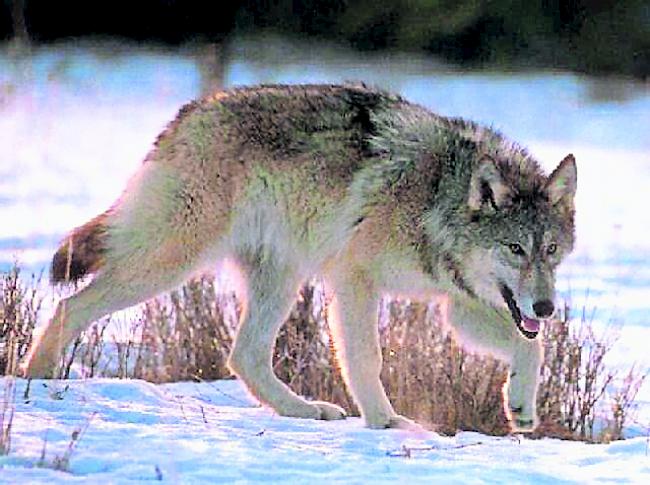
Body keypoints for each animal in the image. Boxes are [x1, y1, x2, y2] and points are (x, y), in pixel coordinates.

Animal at [22, 83, 576, 432]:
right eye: (515, 248)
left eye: (550, 251)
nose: (546, 307)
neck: (436, 196)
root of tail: (190, 112)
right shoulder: (355, 279)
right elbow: (366, 358)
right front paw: (384, 422)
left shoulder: (457, 306)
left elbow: (532, 347)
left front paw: (521, 408)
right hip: (171, 263)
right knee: (71, 305)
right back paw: (32, 383)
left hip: (279, 280)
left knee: (243, 356)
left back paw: (304, 411)